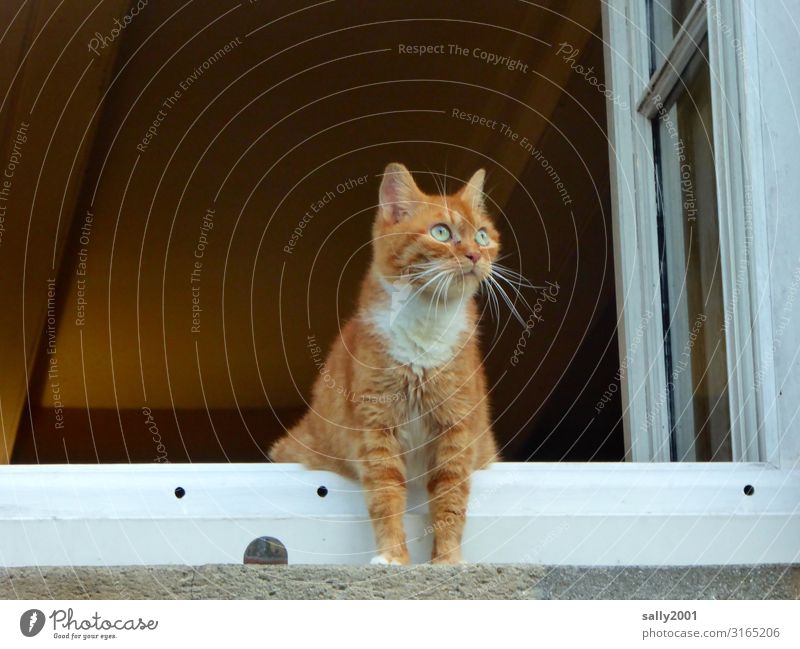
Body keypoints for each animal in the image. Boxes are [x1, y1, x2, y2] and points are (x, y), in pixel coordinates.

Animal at [272, 162, 504, 560]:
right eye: (441, 232)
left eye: (482, 235)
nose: (476, 255)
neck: (426, 323)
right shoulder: (377, 426)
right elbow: (386, 495)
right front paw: (393, 557)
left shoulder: (456, 427)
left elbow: (451, 498)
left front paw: (447, 560)